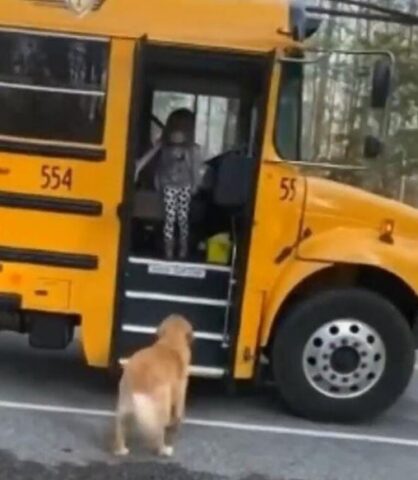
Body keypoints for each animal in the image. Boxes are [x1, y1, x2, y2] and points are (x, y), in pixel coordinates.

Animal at [113, 316, 193, 458]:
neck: (171, 343)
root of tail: (139, 377)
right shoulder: (180, 396)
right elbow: (178, 416)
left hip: (124, 404)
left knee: (120, 426)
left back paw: (121, 450)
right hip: (162, 404)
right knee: (159, 431)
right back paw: (164, 450)